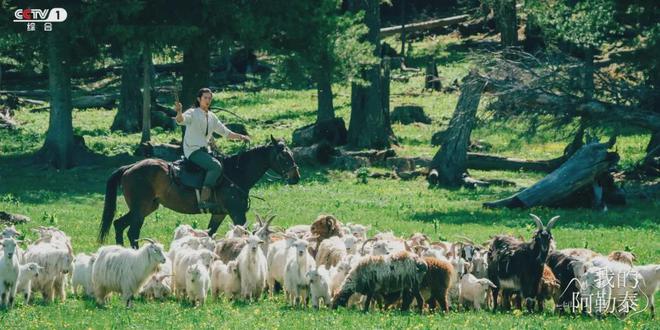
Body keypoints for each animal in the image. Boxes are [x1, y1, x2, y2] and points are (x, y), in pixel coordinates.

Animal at [98, 136, 300, 248]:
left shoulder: (219, 214)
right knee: (132, 233)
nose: (296, 177)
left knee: (118, 225)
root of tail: (129, 167)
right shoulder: (237, 214)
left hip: (146, 208)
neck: (235, 173)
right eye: (283, 156)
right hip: (140, 209)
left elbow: (209, 234)